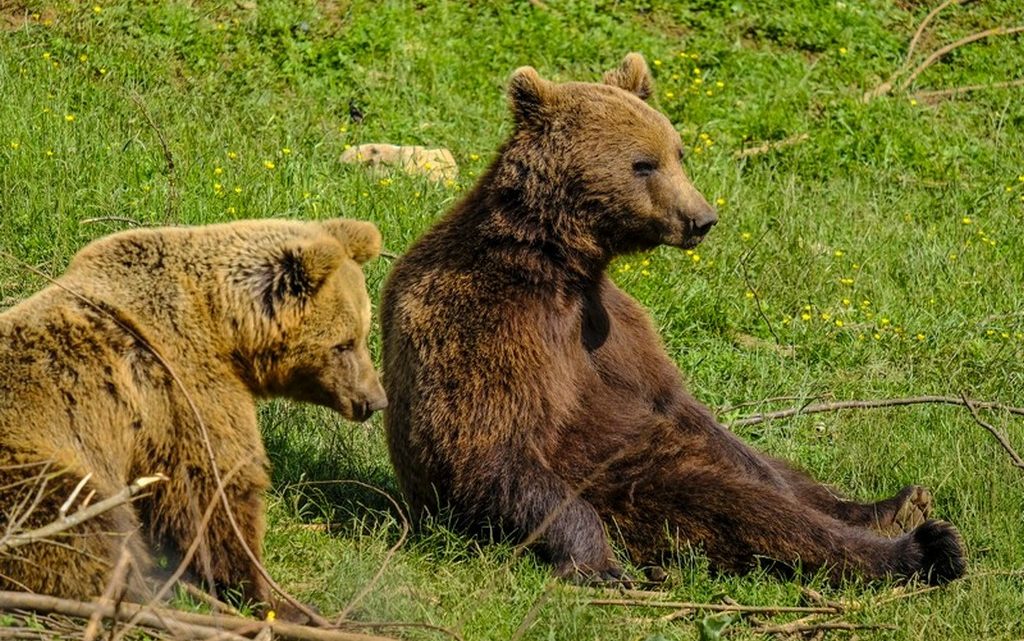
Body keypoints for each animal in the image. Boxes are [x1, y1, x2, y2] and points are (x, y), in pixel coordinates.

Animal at [0, 217, 387, 618]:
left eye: (363, 332)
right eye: (343, 344)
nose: (375, 400)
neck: (225, 327)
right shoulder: (183, 385)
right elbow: (212, 488)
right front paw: (265, 594)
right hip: (31, 467)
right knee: (82, 525)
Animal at [380, 53, 962, 585]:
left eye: (678, 152)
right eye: (644, 163)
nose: (702, 219)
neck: (556, 265)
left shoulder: (612, 325)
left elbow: (679, 403)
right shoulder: (487, 324)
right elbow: (490, 447)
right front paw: (595, 562)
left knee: (777, 474)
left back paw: (892, 505)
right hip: (626, 481)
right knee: (734, 507)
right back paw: (921, 549)